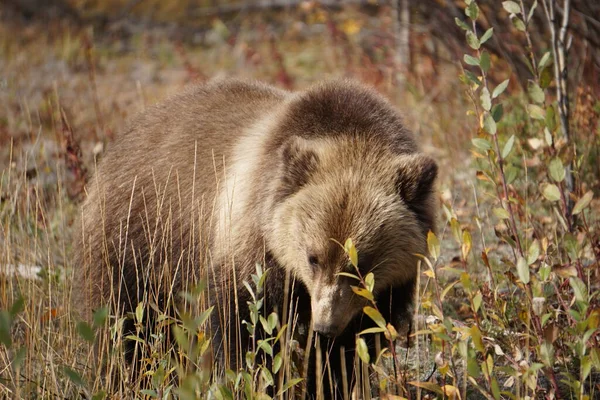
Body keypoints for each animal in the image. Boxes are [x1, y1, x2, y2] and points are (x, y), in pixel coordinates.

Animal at [72, 77, 438, 396]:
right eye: (313, 257)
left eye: (361, 266)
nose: (325, 326)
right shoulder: (255, 239)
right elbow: (247, 324)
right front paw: (254, 381)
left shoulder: (386, 289)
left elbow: (356, 345)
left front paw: (331, 382)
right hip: (139, 234)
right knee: (125, 321)